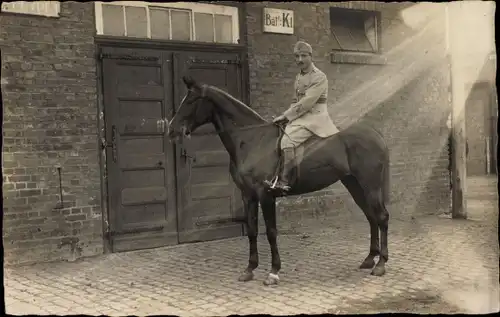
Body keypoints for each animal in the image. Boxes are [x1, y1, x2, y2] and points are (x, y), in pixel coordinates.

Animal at [168, 77, 390, 286]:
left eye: (191, 100)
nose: (172, 130)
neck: (252, 139)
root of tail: (376, 135)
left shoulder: (265, 195)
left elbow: (271, 232)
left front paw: (273, 272)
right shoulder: (247, 195)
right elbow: (252, 230)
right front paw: (249, 269)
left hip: (370, 185)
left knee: (381, 217)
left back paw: (380, 264)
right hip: (354, 185)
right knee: (371, 216)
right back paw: (369, 259)